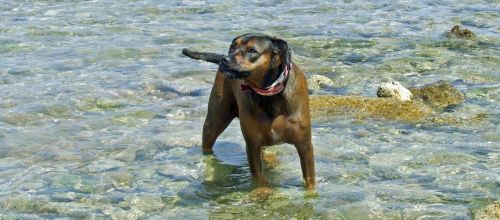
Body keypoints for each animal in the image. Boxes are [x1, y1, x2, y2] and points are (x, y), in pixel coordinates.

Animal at [182, 33, 314, 190]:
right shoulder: (253, 144)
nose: (225, 59)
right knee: (208, 144)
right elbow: (259, 176)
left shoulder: (304, 145)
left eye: (252, 51)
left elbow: (309, 179)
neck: (269, 94)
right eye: (233, 46)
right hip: (215, 120)